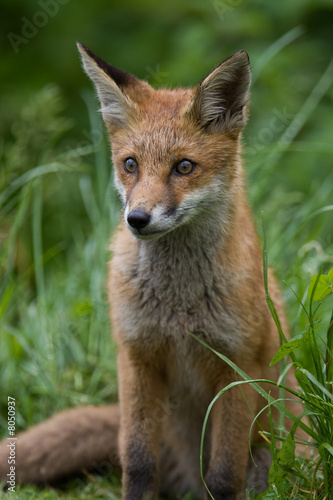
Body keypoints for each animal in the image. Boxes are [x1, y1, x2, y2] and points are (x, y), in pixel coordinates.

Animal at [0, 45, 302, 498]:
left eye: (184, 167)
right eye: (131, 165)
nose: (137, 219)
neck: (177, 308)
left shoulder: (237, 365)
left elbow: (224, 474)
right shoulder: (136, 356)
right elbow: (138, 461)